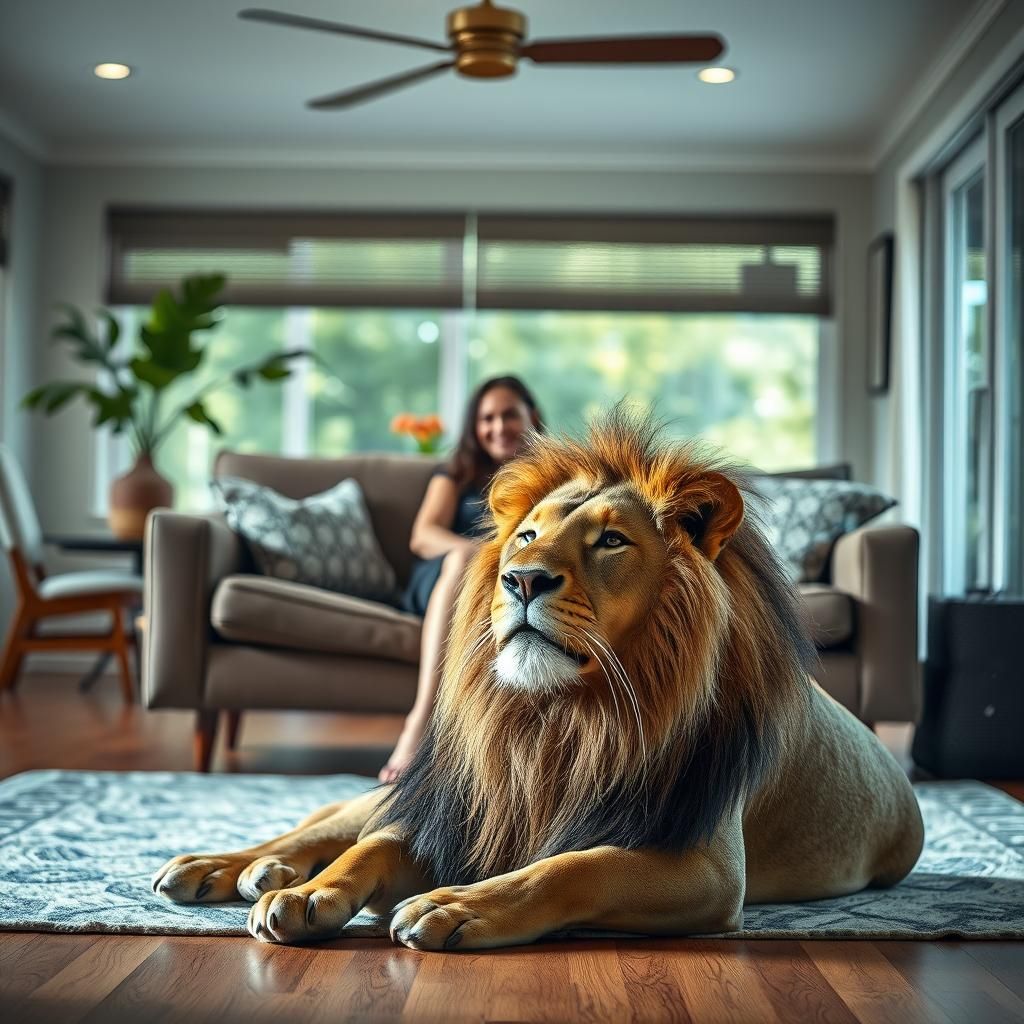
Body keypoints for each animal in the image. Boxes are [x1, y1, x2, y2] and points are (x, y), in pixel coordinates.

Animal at [153, 413, 924, 949]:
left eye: (611, 540)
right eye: (526, 535)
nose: (521, 580)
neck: (559, 719)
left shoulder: (706, 868)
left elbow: (572, 867)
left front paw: (453, 905)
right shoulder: (460, 810)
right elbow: (372, 846)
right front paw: (312, 895)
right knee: (321, 825)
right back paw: (229, 867)